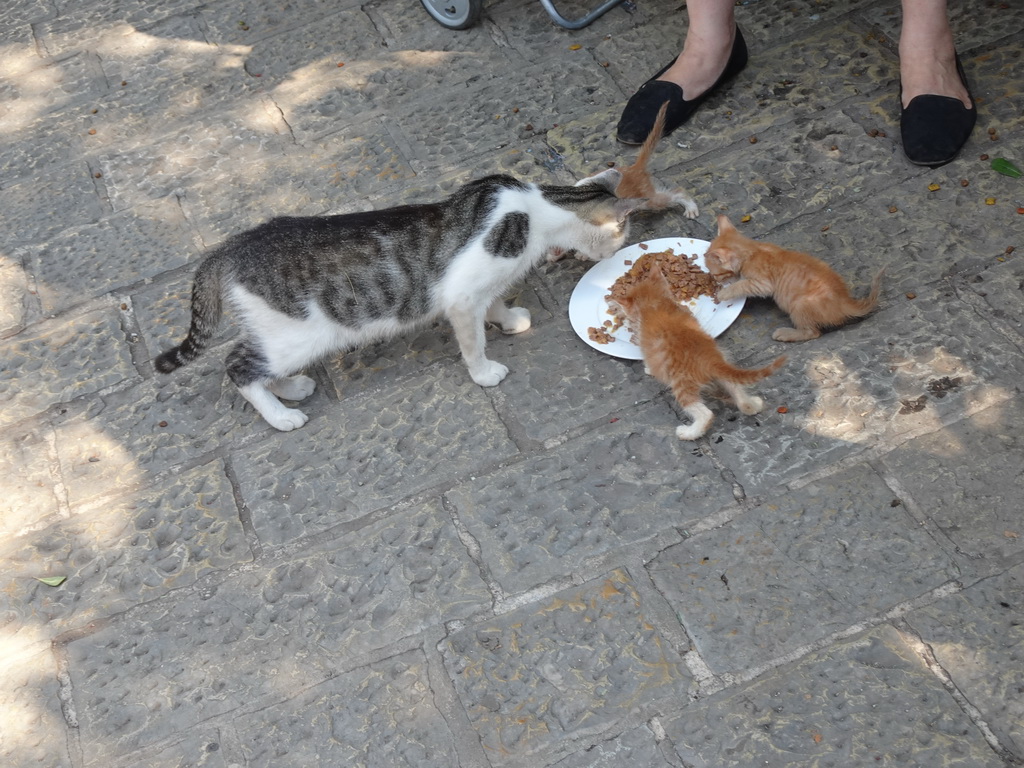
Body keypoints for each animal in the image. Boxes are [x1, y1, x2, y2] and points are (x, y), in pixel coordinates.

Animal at [156, 171, 638, 430]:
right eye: (623, 233)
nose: (616, 252)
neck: (536, 209)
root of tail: (229, 247)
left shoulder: (479, 290)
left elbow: (494, 304)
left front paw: (508, 317)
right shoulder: (461, 295)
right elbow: (472, 340)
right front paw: (484, 372)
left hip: (275, 333)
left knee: (253, 360)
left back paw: (292, 388)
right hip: (298, 334)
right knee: (238, 365)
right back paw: (281, 415)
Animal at [610, 268, 786, 442]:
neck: (654, 304)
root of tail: (711, 359)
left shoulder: (647, 347)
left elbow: (650, 362)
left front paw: (648, 369)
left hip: (682, 383)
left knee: (705, 414)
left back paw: (689, 432)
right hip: (722, 368)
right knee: (736, 390)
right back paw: (752, 405)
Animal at [708, 214, 884, 339]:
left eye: (715, 274)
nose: (714, 280)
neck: (752, 251)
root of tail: (845, 302)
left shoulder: (762, 283)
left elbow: (742, 285)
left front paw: (724, 292)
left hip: (799, 305)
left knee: (813, 333)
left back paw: (785, 333)